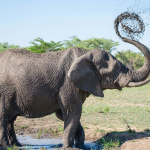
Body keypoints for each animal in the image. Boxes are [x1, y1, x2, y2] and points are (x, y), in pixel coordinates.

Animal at [0, 14, 150, 149]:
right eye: (116, 69)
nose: (123, 30)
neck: (86, 53)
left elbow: (65, 114)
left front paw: (81, 146)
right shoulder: (67, 84)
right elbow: (73, 112)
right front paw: (68, 148)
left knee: (10, 120)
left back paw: (17, 145)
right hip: (3, 93)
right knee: (3, 118)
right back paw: (6, 146)